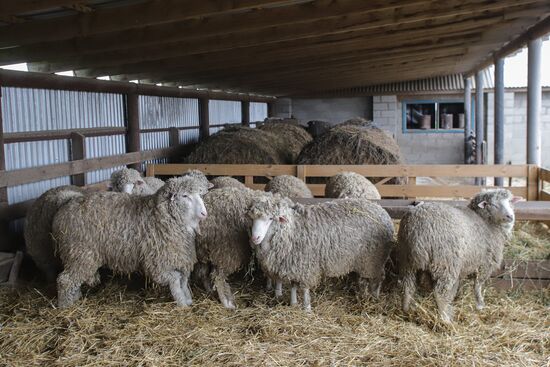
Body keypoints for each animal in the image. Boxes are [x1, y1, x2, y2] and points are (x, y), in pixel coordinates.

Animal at [54, 177, 210, 310]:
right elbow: (176, 279)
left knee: (71, 280)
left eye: (200, 195)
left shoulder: (180, 257)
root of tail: (65, 207)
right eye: (185, 196)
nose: (204, 214)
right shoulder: (156, 262)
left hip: (78, 255)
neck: (160, 216)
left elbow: (183, 279)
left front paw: (188, 299)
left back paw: (75, 298)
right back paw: (65, 306)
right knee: (65, 280)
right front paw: (182, 303)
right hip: (80, 253)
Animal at [248, 196, 394, 310]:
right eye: (252, 219)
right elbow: (293, 286)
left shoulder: (305, 266)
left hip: (374, 259)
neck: (292, 229)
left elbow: (304, 289)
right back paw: (363, 293)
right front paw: (293, 303)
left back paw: (374, 296)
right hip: (364, 261)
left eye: (271, 218)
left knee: (378, 278)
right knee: (365, 279)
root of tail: (381, 210)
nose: (255, 238)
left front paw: (307, 308)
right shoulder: (294, 266)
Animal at [396, 188, 520, 324]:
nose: (510, 216)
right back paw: (446, 320)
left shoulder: (462, 266)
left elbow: (455, 288)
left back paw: (406, 310)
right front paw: (480, 305)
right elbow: (478, 285)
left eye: (509, 202)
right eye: (493, 204)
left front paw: (453, 299)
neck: (486, 222)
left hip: (407, 261)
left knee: (407, 287)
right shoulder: (485, 264)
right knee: (439, 294)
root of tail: (417, 228)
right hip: (445, 263)